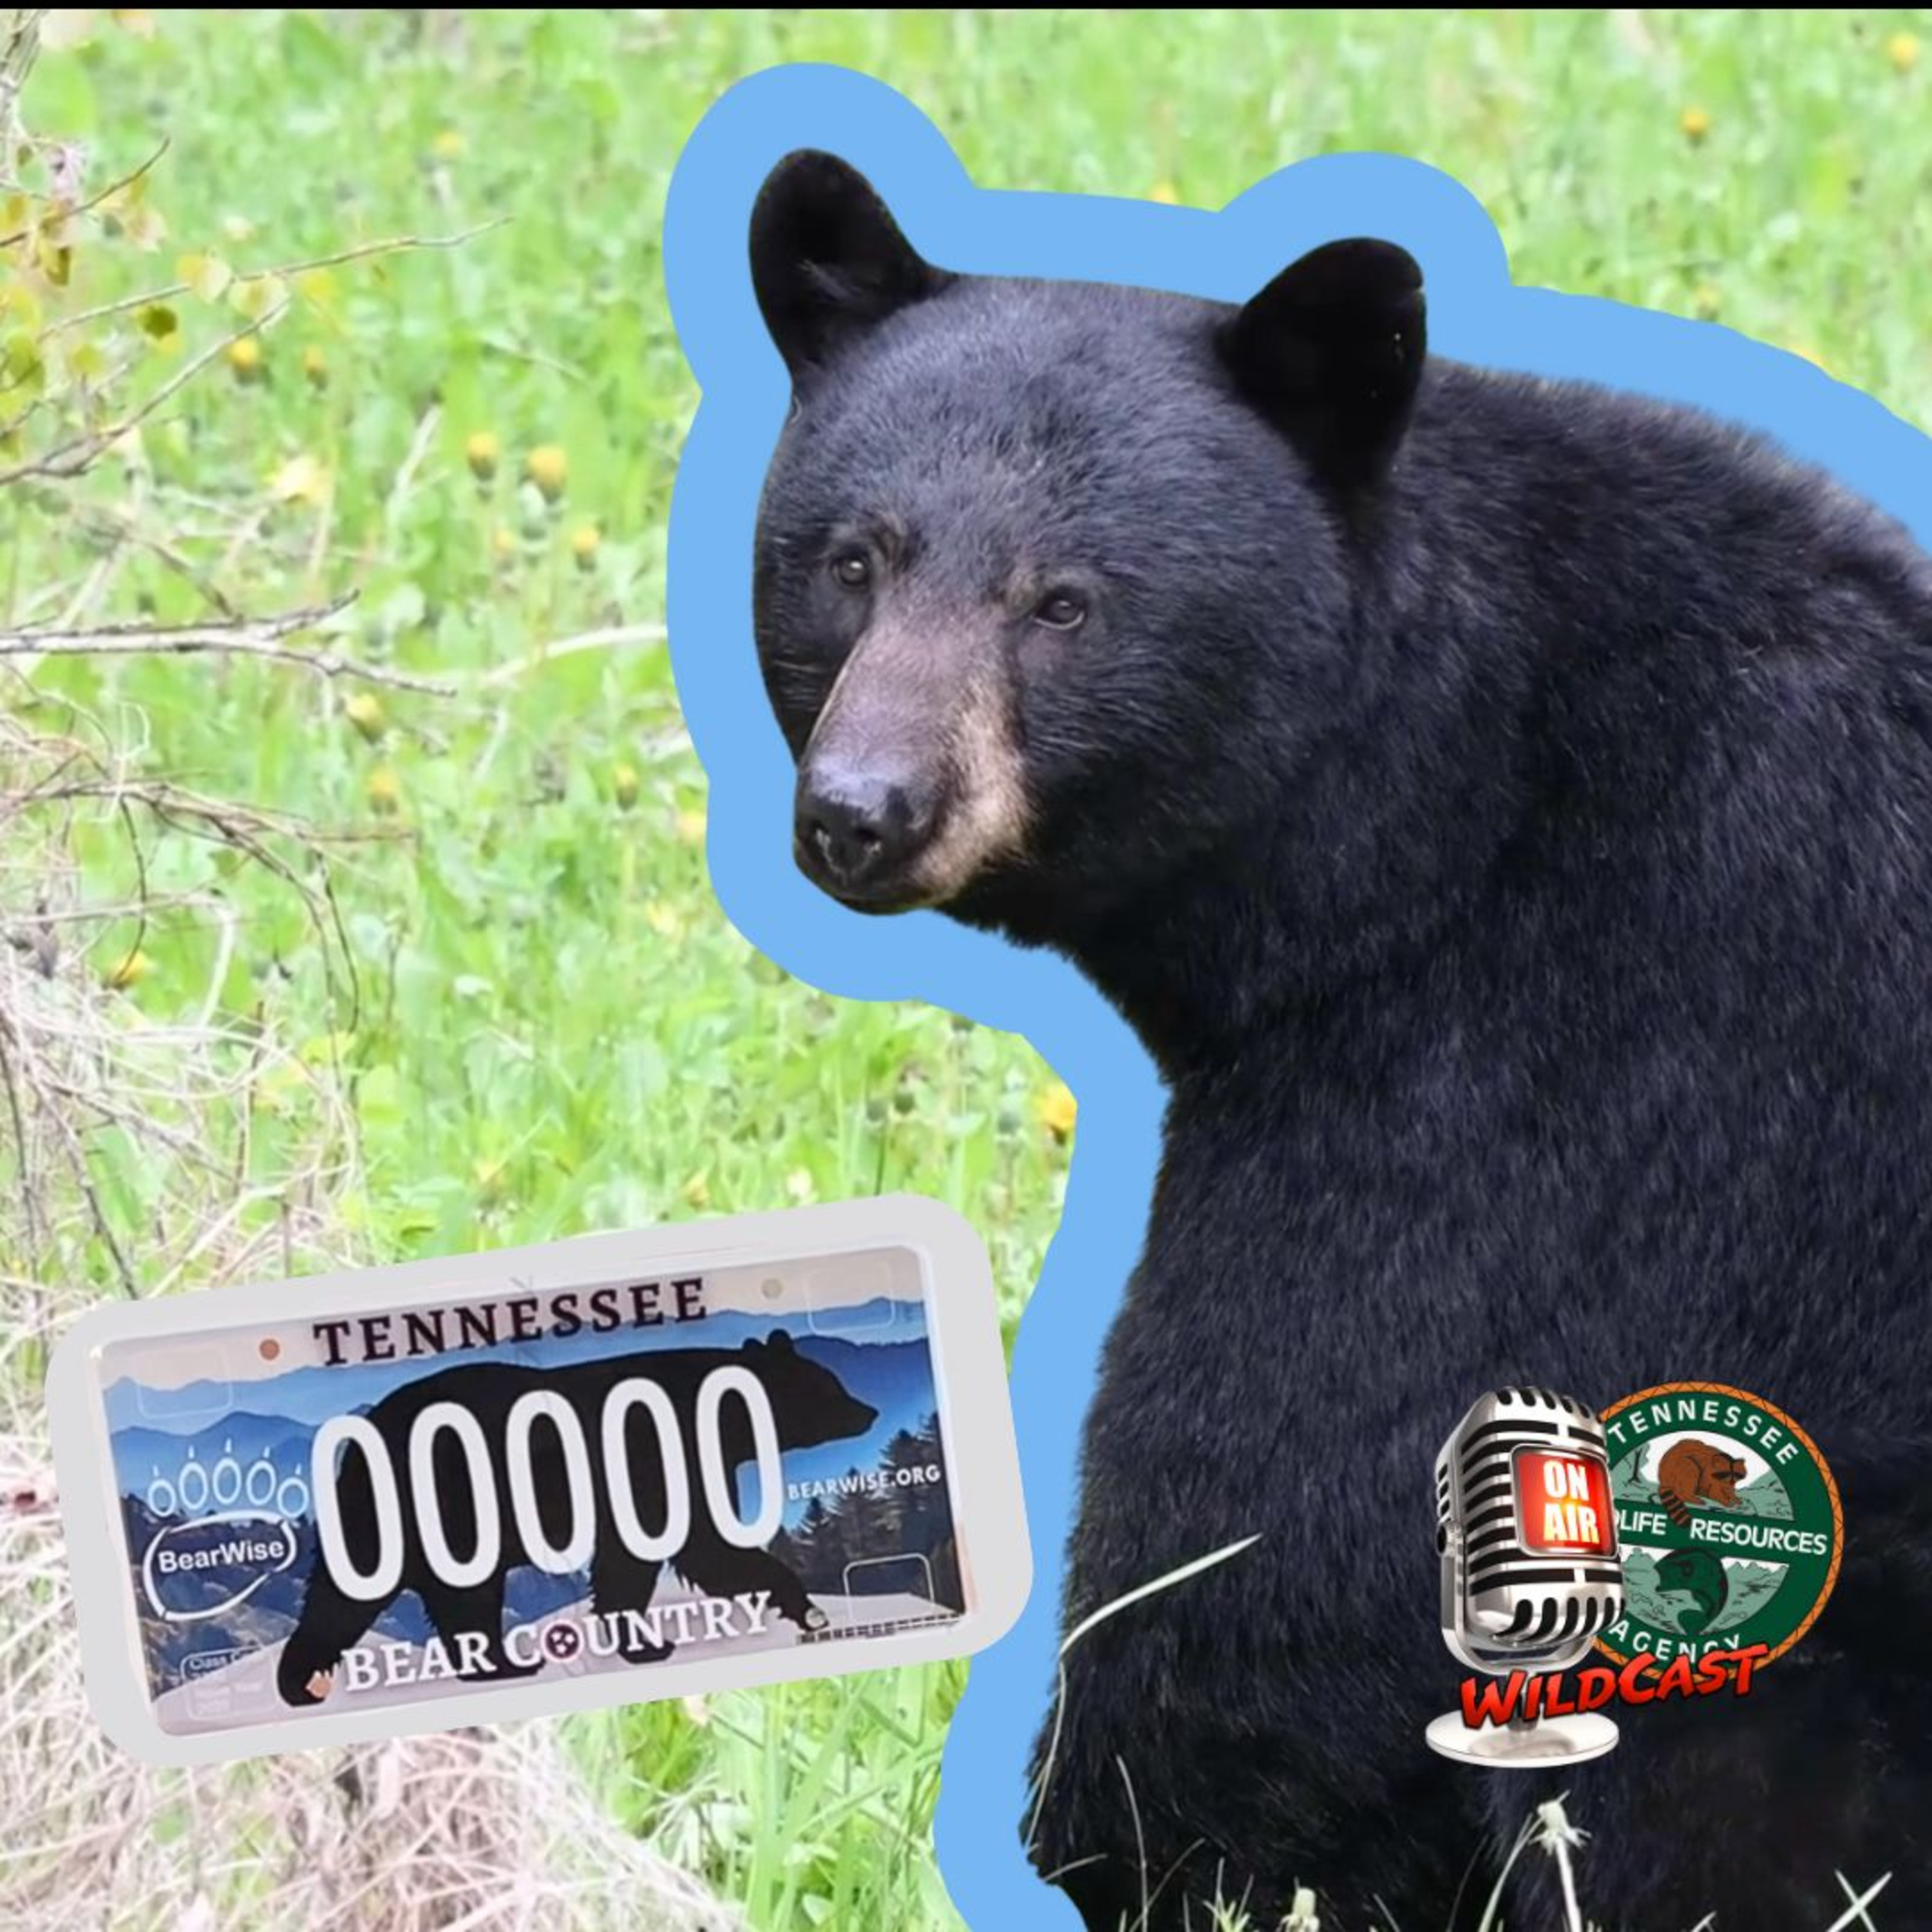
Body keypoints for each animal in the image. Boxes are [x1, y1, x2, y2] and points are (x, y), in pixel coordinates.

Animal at [276, 1331, 876, 1707]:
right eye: (828, 1385)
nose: (868, 1411)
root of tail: (360, 1436)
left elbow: (665, 1556)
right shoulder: (656, 1458)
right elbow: (690, 1549)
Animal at [743, 150, 1932, 1930]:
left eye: (1065, 603)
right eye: (853, 561)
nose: (863, 809)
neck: (1446, 808)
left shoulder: (1540, 1074)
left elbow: (1268, 1526)